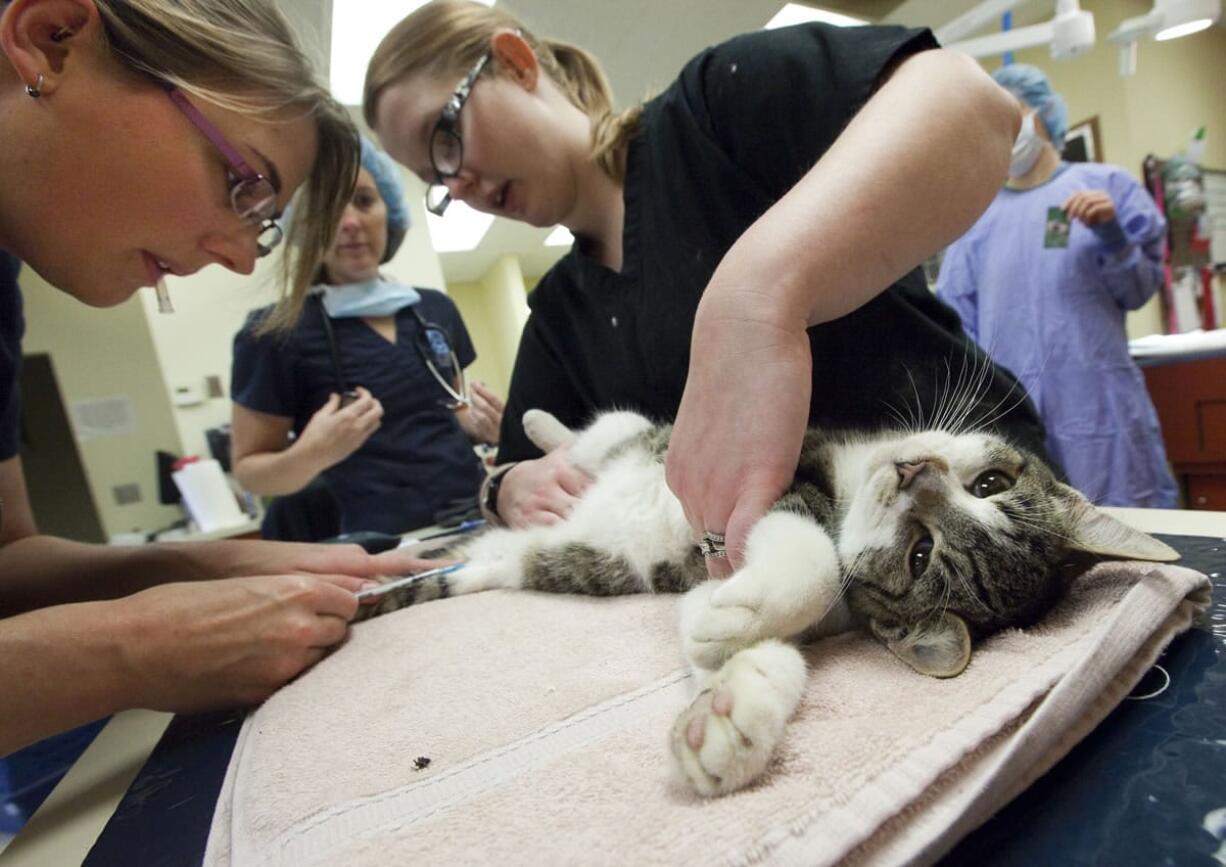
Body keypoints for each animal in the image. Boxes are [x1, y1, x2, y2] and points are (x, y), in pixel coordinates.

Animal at [360, 409, 1176, 794]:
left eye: (922, 554)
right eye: (991, 483)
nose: (912, 471)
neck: (846, 487)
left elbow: (742, 629)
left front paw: (729, 712)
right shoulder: (791, 461)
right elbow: (805, 550)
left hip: (534, 564)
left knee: (482, 565)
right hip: (633, 440)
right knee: (599, 435)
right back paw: (537, 432)